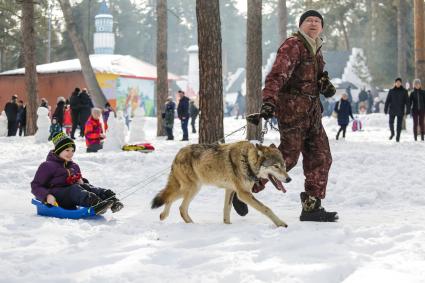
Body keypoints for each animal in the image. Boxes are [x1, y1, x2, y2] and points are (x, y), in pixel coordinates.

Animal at [150, 142, 292, 229]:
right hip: (192, 188)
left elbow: (226, 211)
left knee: (170, 198)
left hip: (191, 188)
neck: (247, 161)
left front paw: (227, 225)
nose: (289, 179)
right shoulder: (243, 194)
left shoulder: (230, 190)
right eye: (276, 166)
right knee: (179, 206)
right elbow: (266, 208)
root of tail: (177, 154)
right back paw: (192, 224)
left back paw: (164, 215)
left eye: (284, 166)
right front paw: (281, 224)